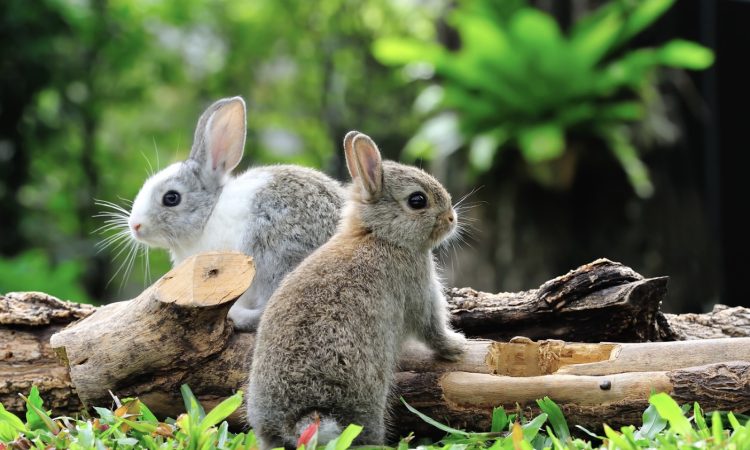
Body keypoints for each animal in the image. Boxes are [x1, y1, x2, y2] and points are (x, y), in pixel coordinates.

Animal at [246, 131, 467, 449]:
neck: (379, 235)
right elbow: (432, 329)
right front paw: (457, 346)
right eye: (417, 200)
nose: (451, 218)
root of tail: (303, 417)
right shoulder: (419, 290)